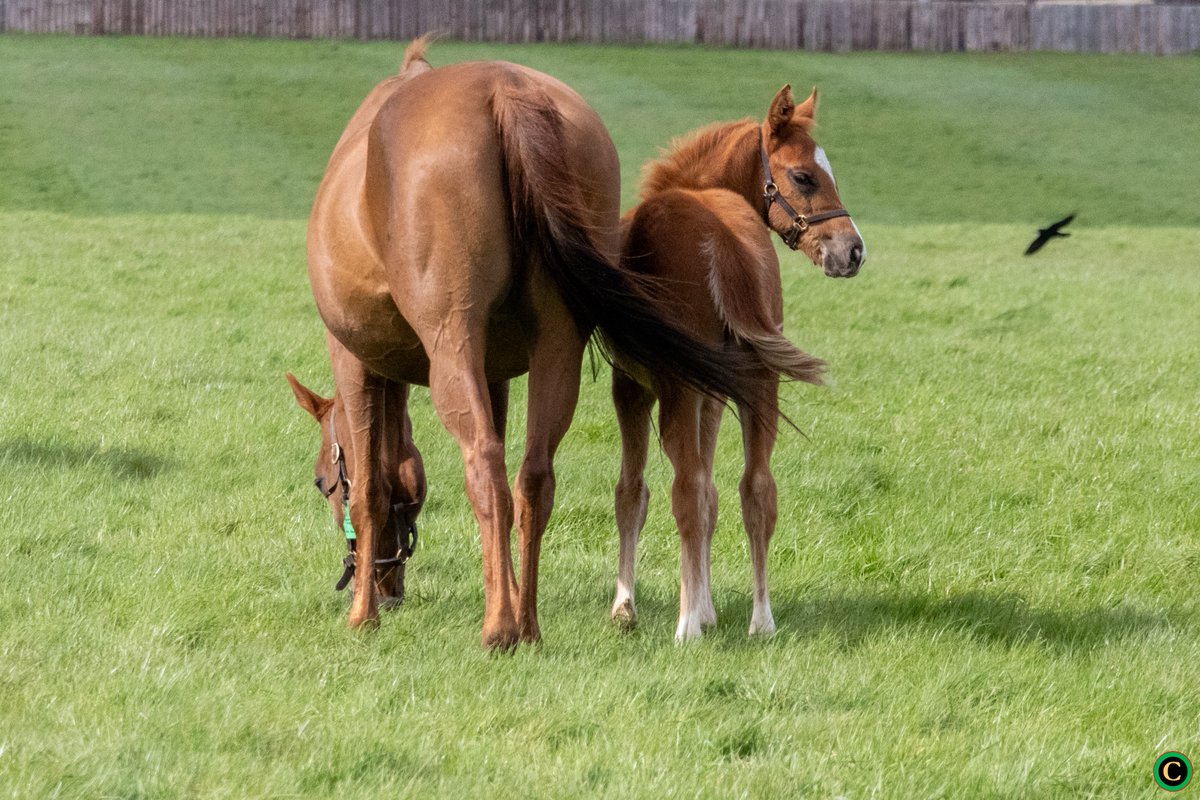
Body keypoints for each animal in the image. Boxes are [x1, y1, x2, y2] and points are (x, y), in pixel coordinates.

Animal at [298, 38, 768, 652]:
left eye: (322, 483)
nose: (386, 584)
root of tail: (505, 91)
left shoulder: (354, 360)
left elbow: (373, 486)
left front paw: (363, 616)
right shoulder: (497, 373)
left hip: (453, 346)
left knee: (485, 464)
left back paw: (499, 628)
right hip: (558, 347)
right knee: (532, 477)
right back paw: (528, 623)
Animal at [609, 84, 864, 642]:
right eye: (805, 176)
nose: (853, 252)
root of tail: (725, 243)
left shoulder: (634, 388)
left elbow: (634, 493)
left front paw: (627, 607)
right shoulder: (713, 394)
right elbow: (713, 495)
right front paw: (706, 606)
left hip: (680, 387)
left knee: (684, 491)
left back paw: (686, 628)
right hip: (759, 382)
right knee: (757, 490)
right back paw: (761, 620)